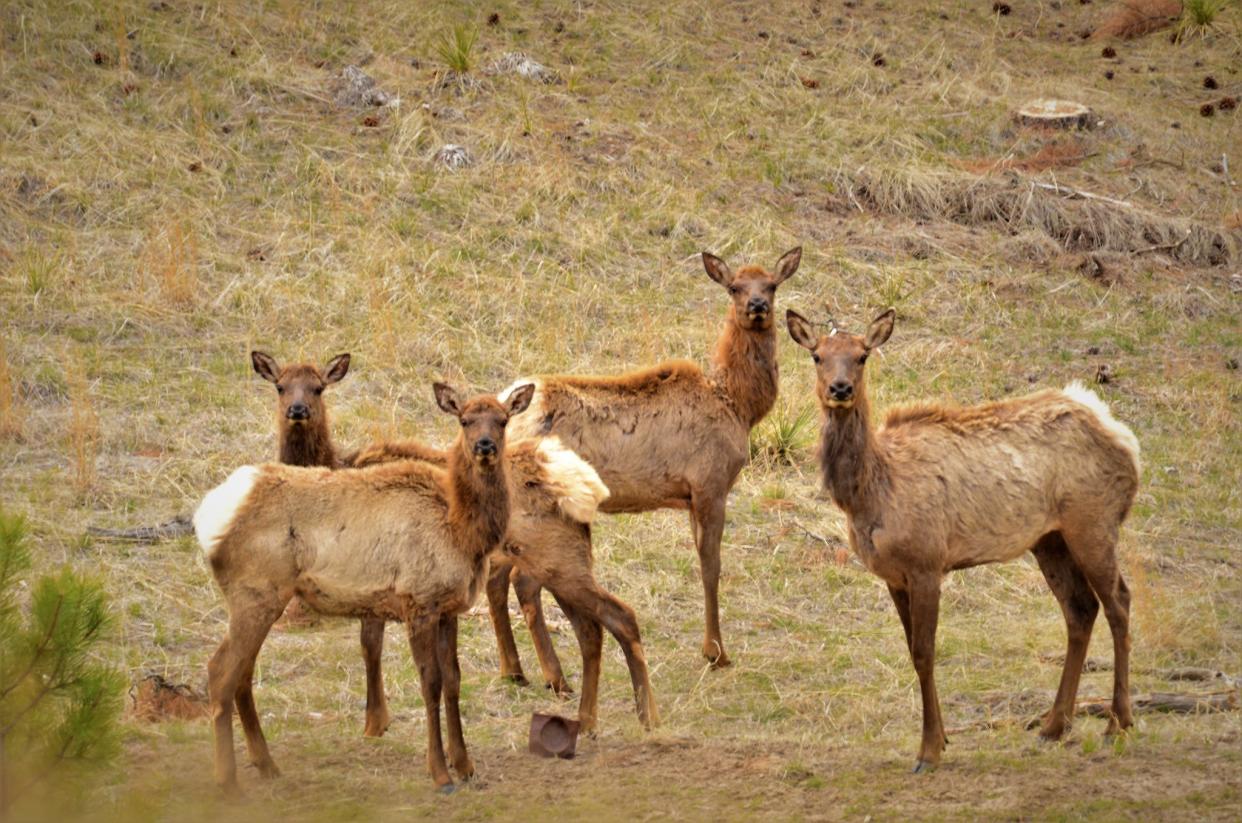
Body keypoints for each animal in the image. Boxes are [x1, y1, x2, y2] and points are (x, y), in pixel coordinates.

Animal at [196, 382, 536, 794]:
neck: (462, 532)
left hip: (261, 598)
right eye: (465, 420)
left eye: (502, 420)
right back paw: (227, 779)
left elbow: (454, 680)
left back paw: (266, 764)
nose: (484, 446)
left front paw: (466, 765)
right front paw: (440, 773)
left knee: (241, 672)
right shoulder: (417, 601)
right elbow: (431, 682)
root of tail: (206, 517)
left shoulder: (448, 608)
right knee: (220, 670)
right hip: (254, 592)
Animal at [489, 245, 799, 670]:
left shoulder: (690, 496)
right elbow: (711, 566)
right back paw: (550, 674)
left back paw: (514, 669)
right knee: (521, 581)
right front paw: (716, 652)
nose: (757, 306)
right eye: (734, 286)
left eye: (771, 284)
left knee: (495, 578)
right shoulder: (710, 483)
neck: (738, 404)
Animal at [789, 307, 1137, 774]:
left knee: (1119, 601)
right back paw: (1052, 725)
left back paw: (1118, 723)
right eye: (817, 356)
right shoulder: (893, 576)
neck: (870, 493)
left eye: (862, 355)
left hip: (1094, 522)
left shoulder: (926, 562)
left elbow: (925, 652)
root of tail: (1124, 437)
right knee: (1081, 609)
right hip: (1050, 539)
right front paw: (941, 740)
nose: (839, 388)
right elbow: (911, 651)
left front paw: (929, 750)